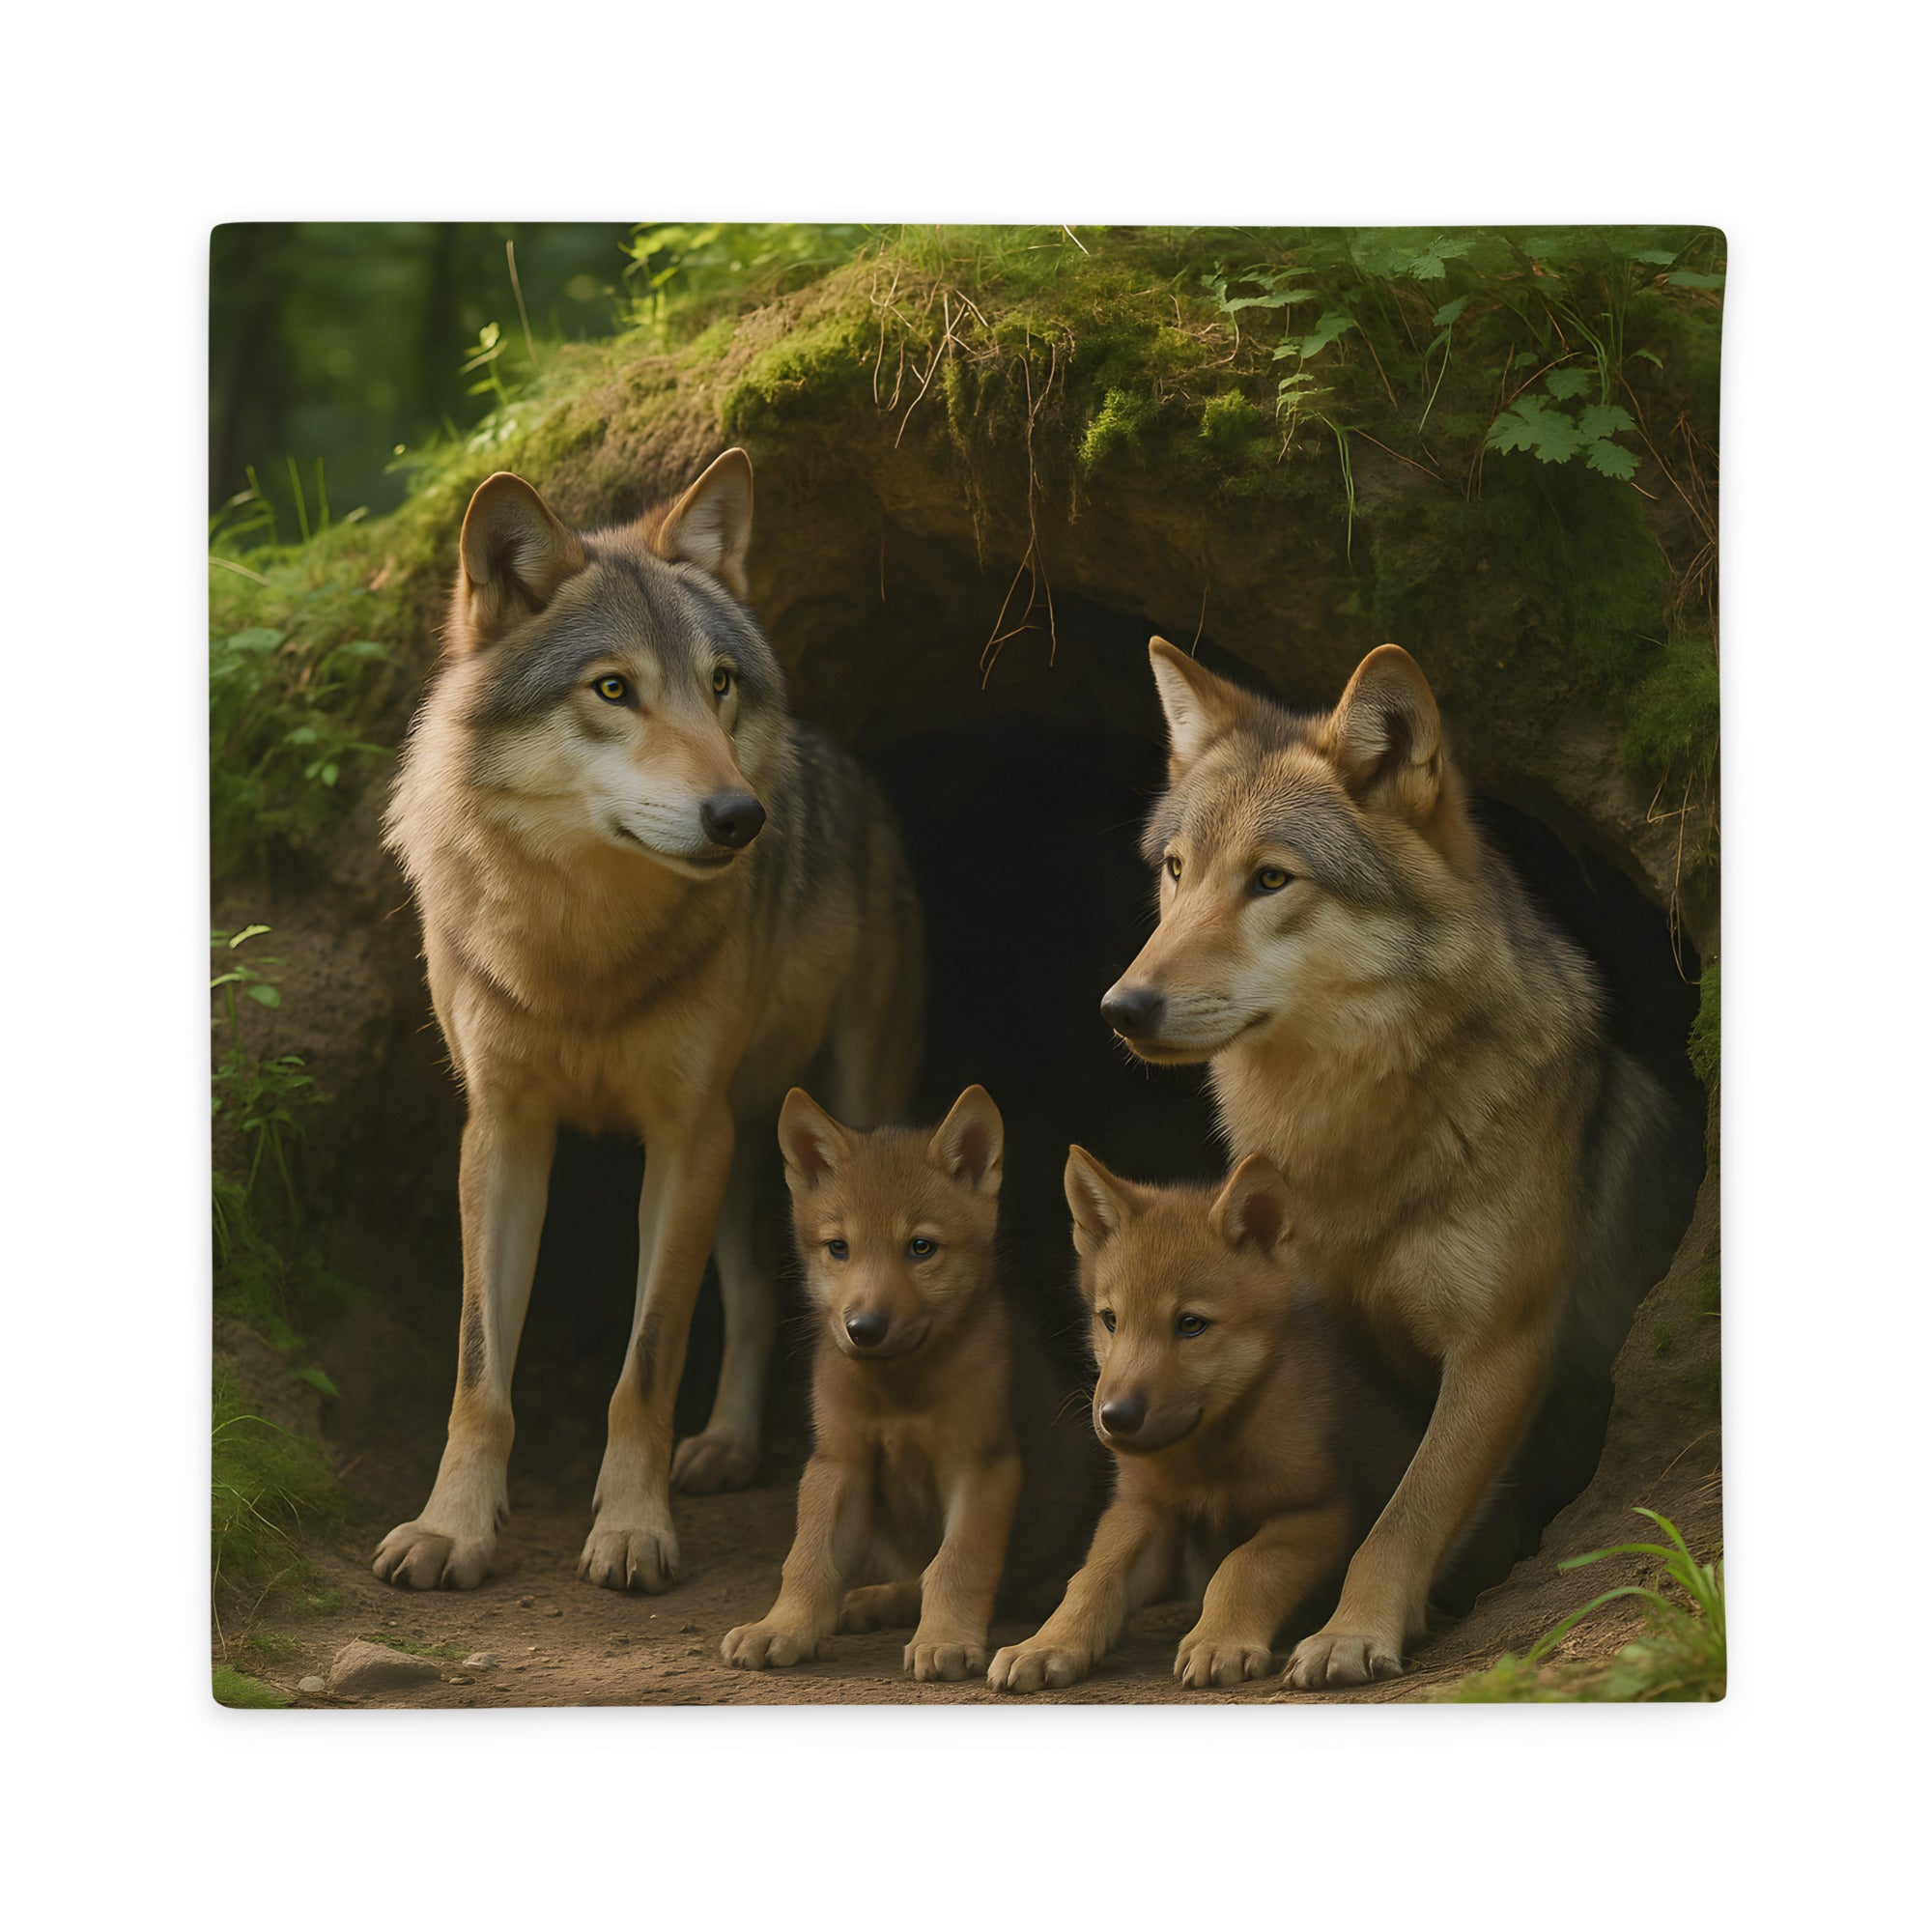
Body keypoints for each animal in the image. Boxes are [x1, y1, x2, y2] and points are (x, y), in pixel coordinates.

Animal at [374, 449, 924, 1594]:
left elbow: (647, 1361)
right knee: (757, 1294)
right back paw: (726, 1446)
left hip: (834, 1121)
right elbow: (478, 1367)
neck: (582, 951)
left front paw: (632, 1528)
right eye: (613, 689)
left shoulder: (683, 1136)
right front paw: (452, 1528)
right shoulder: (502, 1134)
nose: (740, 818)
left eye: (718, 683)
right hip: (746, 1146)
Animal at [722, 1085, 1101, 1680]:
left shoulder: (982, 1465)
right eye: (838, 1248)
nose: (863, 1328)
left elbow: (956, 1564)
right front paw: (781, 1627)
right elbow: (807, 1560)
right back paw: (870, 1602)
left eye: (921, 1248)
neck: (897, 1393)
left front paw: (945, 1638)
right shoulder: (838, 1462)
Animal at [989, 1148, 1421, 1694]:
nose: (1115, 1417)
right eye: (1111, 1320)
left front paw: (1219, 1640)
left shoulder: (1319, 1511)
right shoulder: (1141, 1509)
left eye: (1191, 1324)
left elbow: (1243, 1566)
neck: (1209, 1458)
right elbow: (1091, 1578)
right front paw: (1045, 1644)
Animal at [1100, 638, 1700, 1687]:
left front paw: (1353, 1631)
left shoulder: (1498, 1348)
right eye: (1176, 871)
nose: (1121, 1006)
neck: (1352, 1150)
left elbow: (1403, 1512)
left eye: (1270, 880)